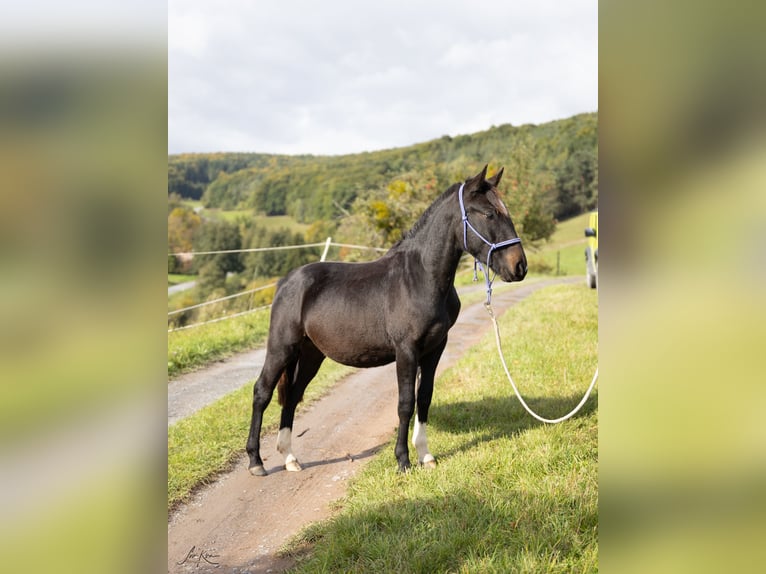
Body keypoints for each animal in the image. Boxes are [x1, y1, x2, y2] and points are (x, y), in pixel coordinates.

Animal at [246, 165, 528, 476]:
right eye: (489, 214)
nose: (519, 266)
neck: (420, 277)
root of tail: (286, 281)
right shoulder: (406, 351)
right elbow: (405, 403)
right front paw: (403, 460)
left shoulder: (435, 348)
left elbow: (424, 397)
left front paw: (425, 456)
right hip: (282, 348)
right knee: (262, 392)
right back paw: (256, 461)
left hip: (310, 354)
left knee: (293, 395)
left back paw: (290, 458)